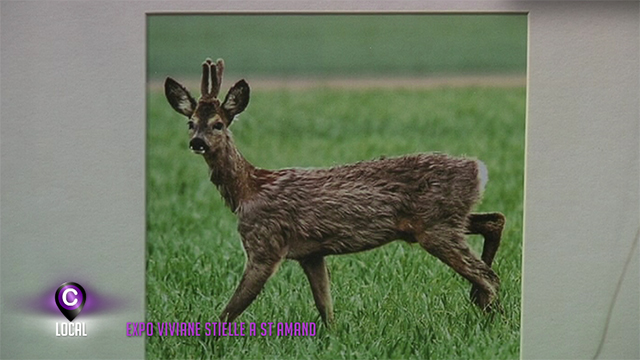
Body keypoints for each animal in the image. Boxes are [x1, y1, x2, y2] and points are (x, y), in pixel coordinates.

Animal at [164, 57, 504, 324]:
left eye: (218, 124)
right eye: (190, 123)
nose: (197, 143)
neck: (248, 190)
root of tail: (479, 169)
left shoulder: (264, 245)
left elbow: (227, 312)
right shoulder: (311, 253)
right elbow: (325, 308)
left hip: (436, 227)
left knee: (489, 276)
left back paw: (489, 316)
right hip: (444, 221)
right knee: (495, 222)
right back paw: (480, 302)